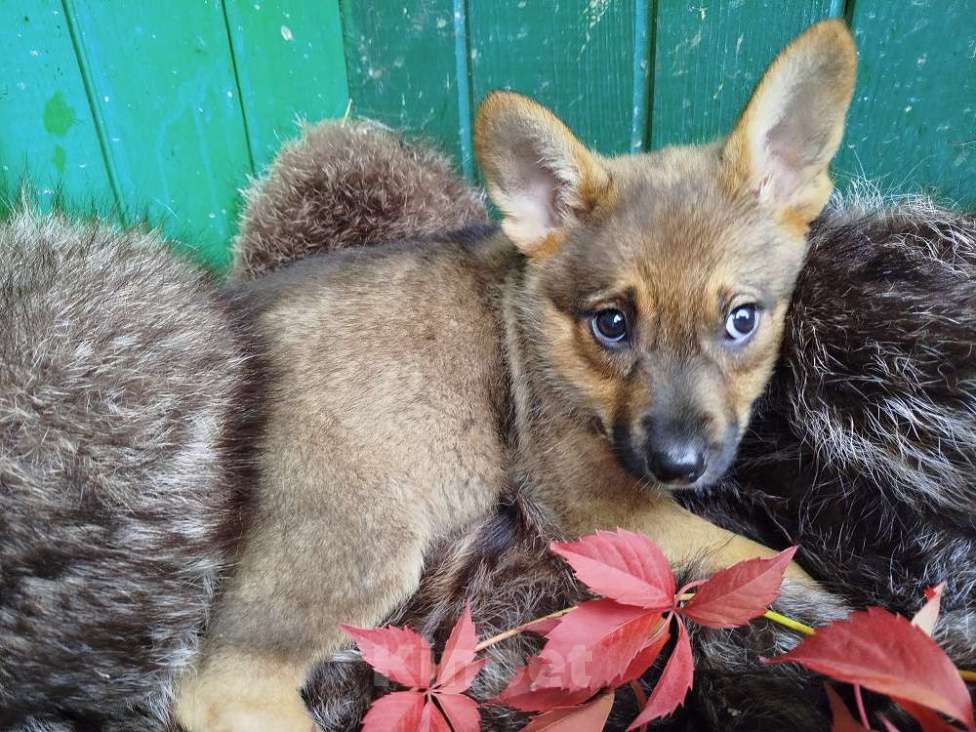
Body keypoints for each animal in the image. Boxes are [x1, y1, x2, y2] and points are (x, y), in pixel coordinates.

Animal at [175, 20, 856, 728]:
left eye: (741, 320)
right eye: (612, 324)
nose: (678, 465)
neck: (548, 342)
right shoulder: (598, 503)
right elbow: (770, 563)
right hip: (362, 538)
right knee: (221, 684)